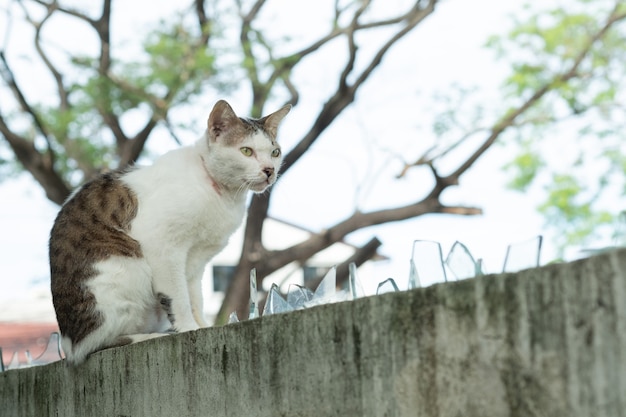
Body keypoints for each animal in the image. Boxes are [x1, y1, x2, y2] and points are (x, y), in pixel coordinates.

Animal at [49, 99, 290, 362]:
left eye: (275, 153)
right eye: (246, 151)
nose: (269, 170)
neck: (221, 195)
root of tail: (69, 344)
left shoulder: (195, 261)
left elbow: (195, 297)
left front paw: (202, 326)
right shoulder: (164, 247)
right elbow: (179, 297)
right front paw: (188, 329)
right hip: (125, 272)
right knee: (101, 344)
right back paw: (150, 336)